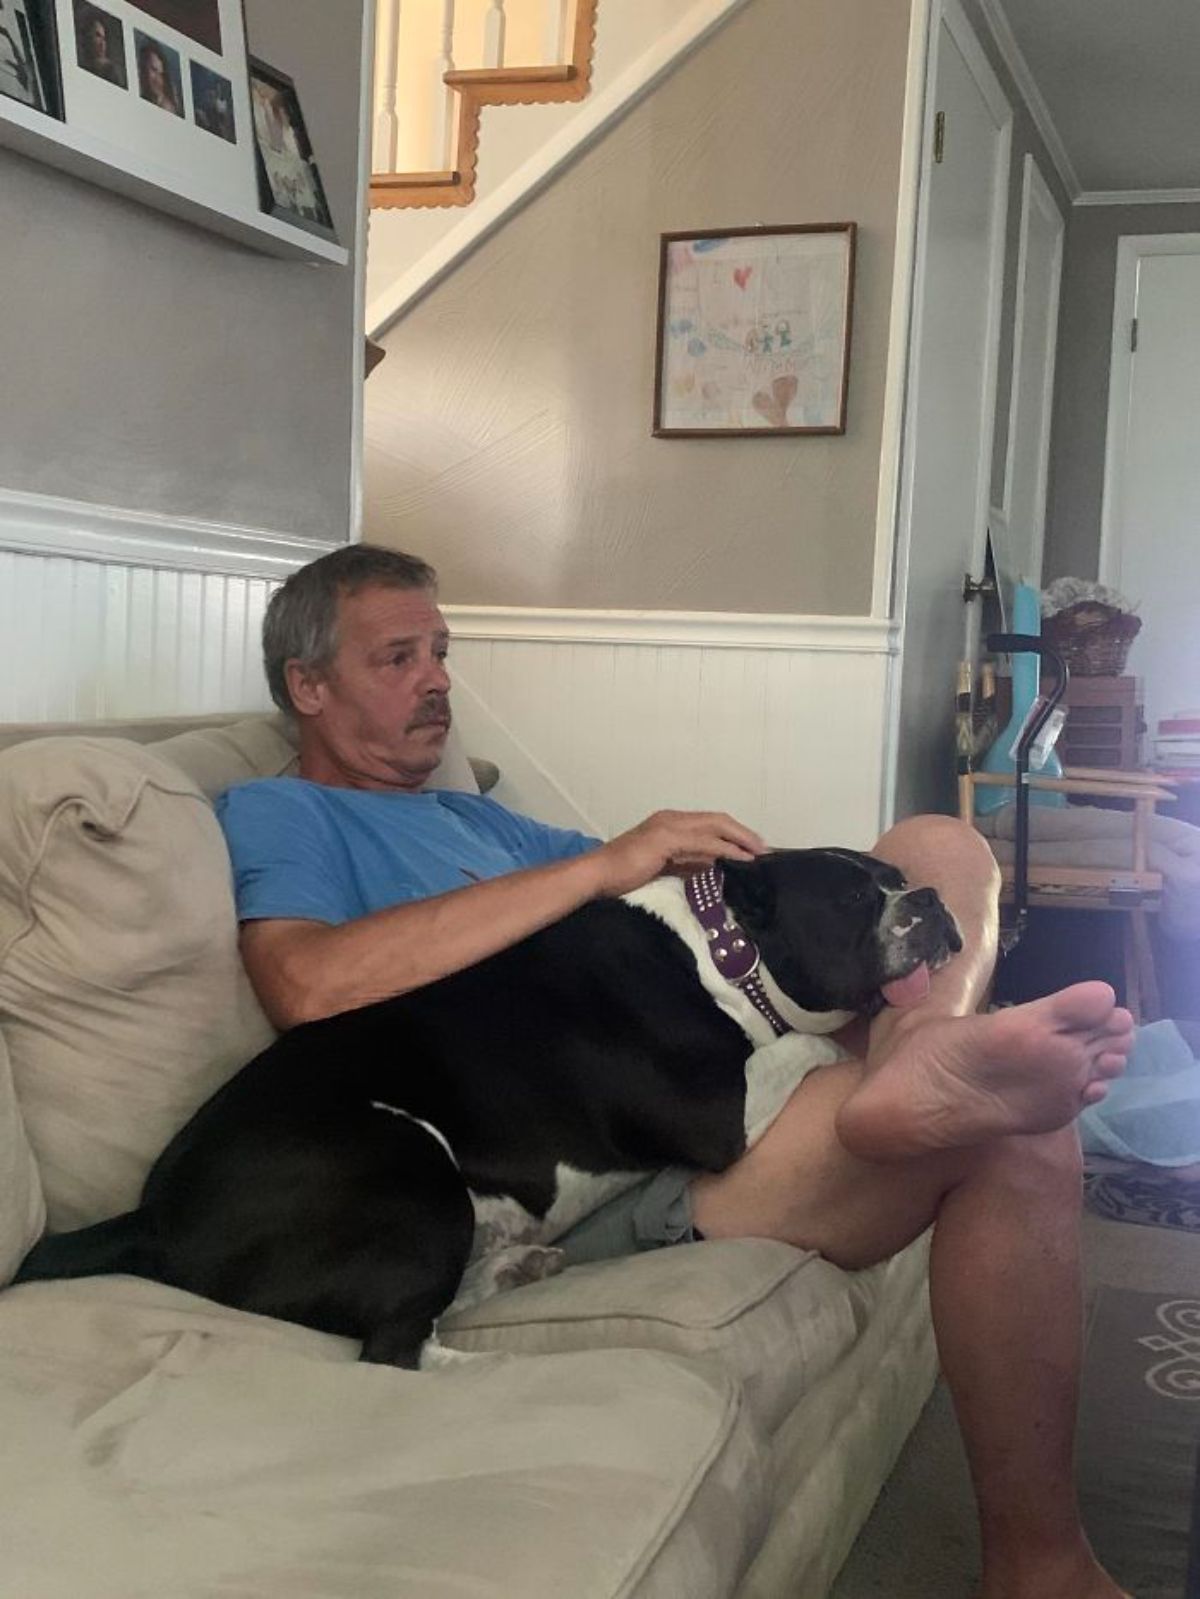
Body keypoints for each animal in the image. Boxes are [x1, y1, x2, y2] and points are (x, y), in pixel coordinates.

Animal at [14, 850, 966, 1362]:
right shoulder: (715, 1113)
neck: (727, 948)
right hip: (411, 1169)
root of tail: (151, 1217)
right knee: (395, 1349)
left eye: (899, 878)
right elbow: (809, 1048)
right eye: (855, 898)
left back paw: (515, 1266)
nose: (930, 898)